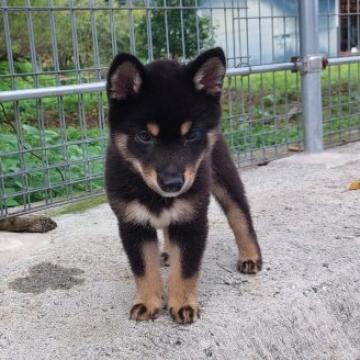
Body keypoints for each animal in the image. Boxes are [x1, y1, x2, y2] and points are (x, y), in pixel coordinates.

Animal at [105, 47, 262, 324]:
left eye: (191, 135)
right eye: (144, 136)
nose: (172, 184)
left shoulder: (192, 220)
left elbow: (185, 270)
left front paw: (183, 305)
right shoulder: (132, 223)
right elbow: (144, 269)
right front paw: (147, 302)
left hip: (225, 178)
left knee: (240, 216)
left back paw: (250, 256)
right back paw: (167, 252)